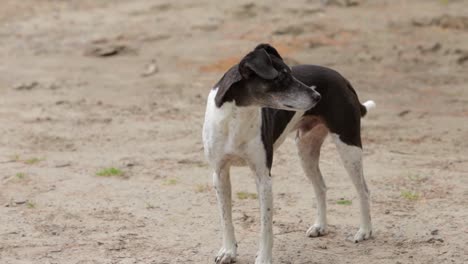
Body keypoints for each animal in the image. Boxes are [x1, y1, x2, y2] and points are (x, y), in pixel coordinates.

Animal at [203, 44, 374, 262]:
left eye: (292, 73)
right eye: (282, 78)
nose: (317, 96)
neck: (236, 118)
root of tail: (342, 78)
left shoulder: (263, 178)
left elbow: (266, 226)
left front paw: (264, 258)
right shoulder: (220, 174)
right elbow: (226, 219)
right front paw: (228, 252)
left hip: (348, 147)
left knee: (363, 190)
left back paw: (365, 230)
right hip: (306, 151)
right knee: (321, 187)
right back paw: (320, 227)